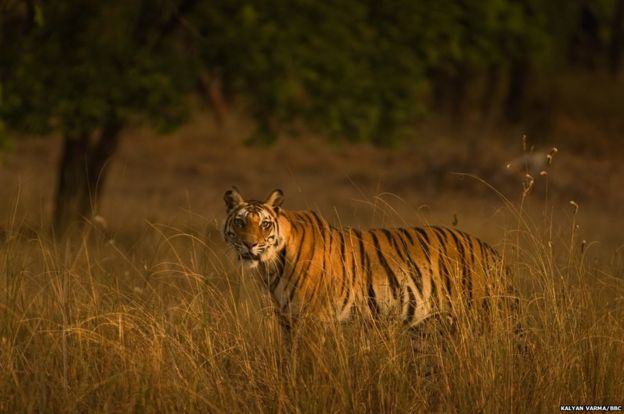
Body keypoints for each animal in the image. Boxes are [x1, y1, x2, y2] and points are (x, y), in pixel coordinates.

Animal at [223, 187, 516, 334]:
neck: (271, 266)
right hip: (427, 330)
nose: (250, 244)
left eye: (264, 224)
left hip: (485, 317)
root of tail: (491, 252)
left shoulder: (311, 320)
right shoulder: (286, 320)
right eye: (240, 222)